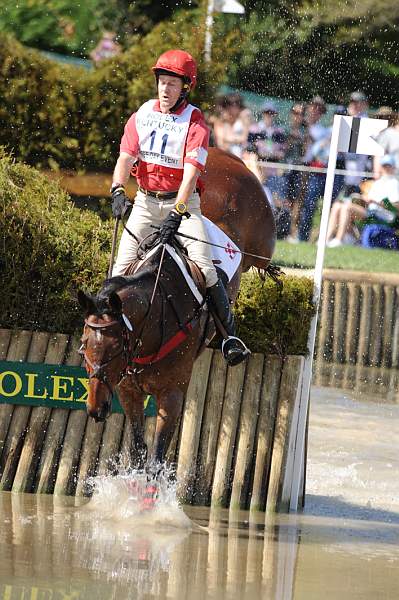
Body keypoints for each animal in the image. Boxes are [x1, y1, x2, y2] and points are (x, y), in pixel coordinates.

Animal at [79, 149, 278, 478]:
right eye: (84, 346)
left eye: (116, 347)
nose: (96, 409)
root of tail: (227, 156)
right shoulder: (128, 391)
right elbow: (138, 452)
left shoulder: (171, 395)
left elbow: (155, 460)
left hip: (261, 247)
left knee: (260, 262)